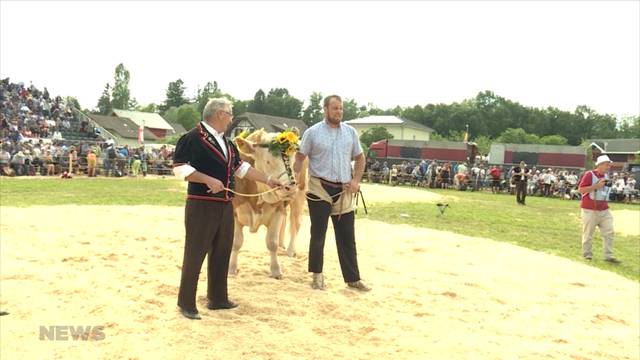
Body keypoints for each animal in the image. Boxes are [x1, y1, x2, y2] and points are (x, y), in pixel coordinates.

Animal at [230, 129, 308, 278]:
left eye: (292, 159)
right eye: (267, 161)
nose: (289, 187)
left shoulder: (277, 210)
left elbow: (272, 242)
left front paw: (275, 270)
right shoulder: (234, 213)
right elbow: (236, 242)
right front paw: (232, 268)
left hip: (300, 195)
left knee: (296, 222)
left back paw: (290, 250)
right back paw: (283, 245)